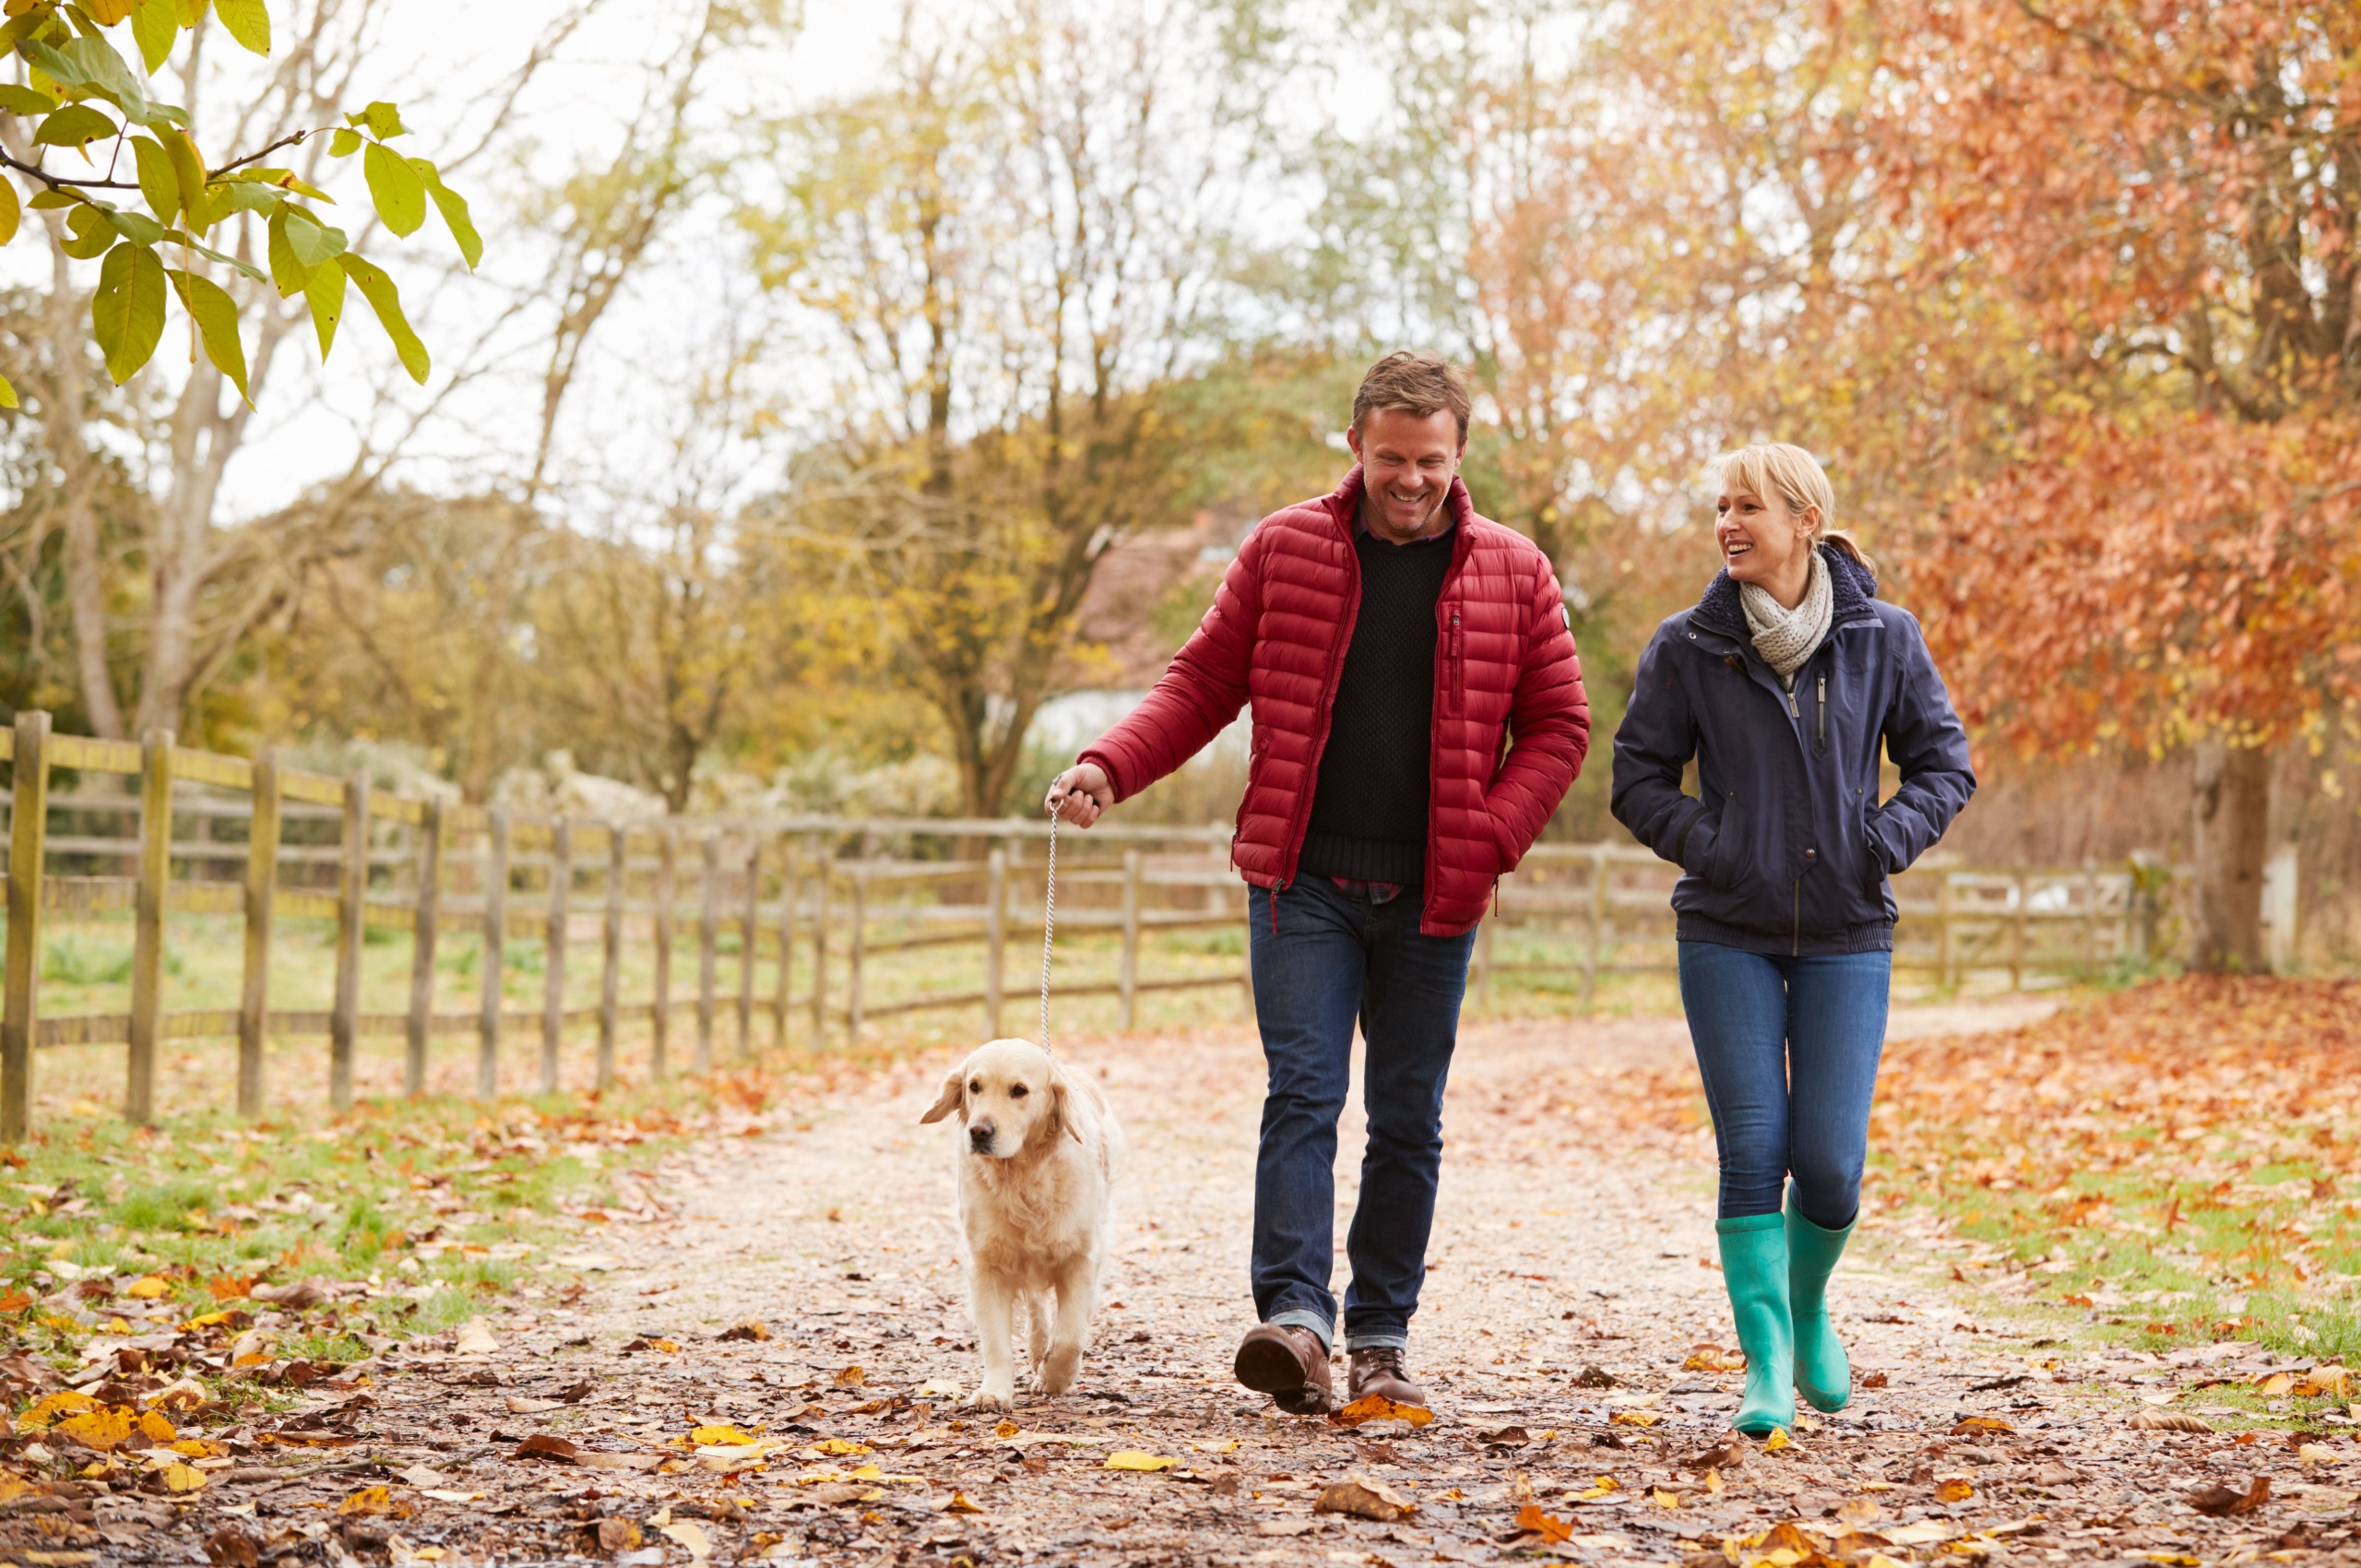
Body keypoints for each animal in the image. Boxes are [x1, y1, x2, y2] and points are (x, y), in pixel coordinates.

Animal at [916, 1039, 1119, 1407]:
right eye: (974, 1086)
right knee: (1037, 1311)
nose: (979, 1131)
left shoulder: (1081, 1259)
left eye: (1019, 1091)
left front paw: (1055, 1378)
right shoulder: (986, 1266)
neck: (1021, 1176)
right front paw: (994, 1392)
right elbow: (996, 1342)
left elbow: (1070, 1337)